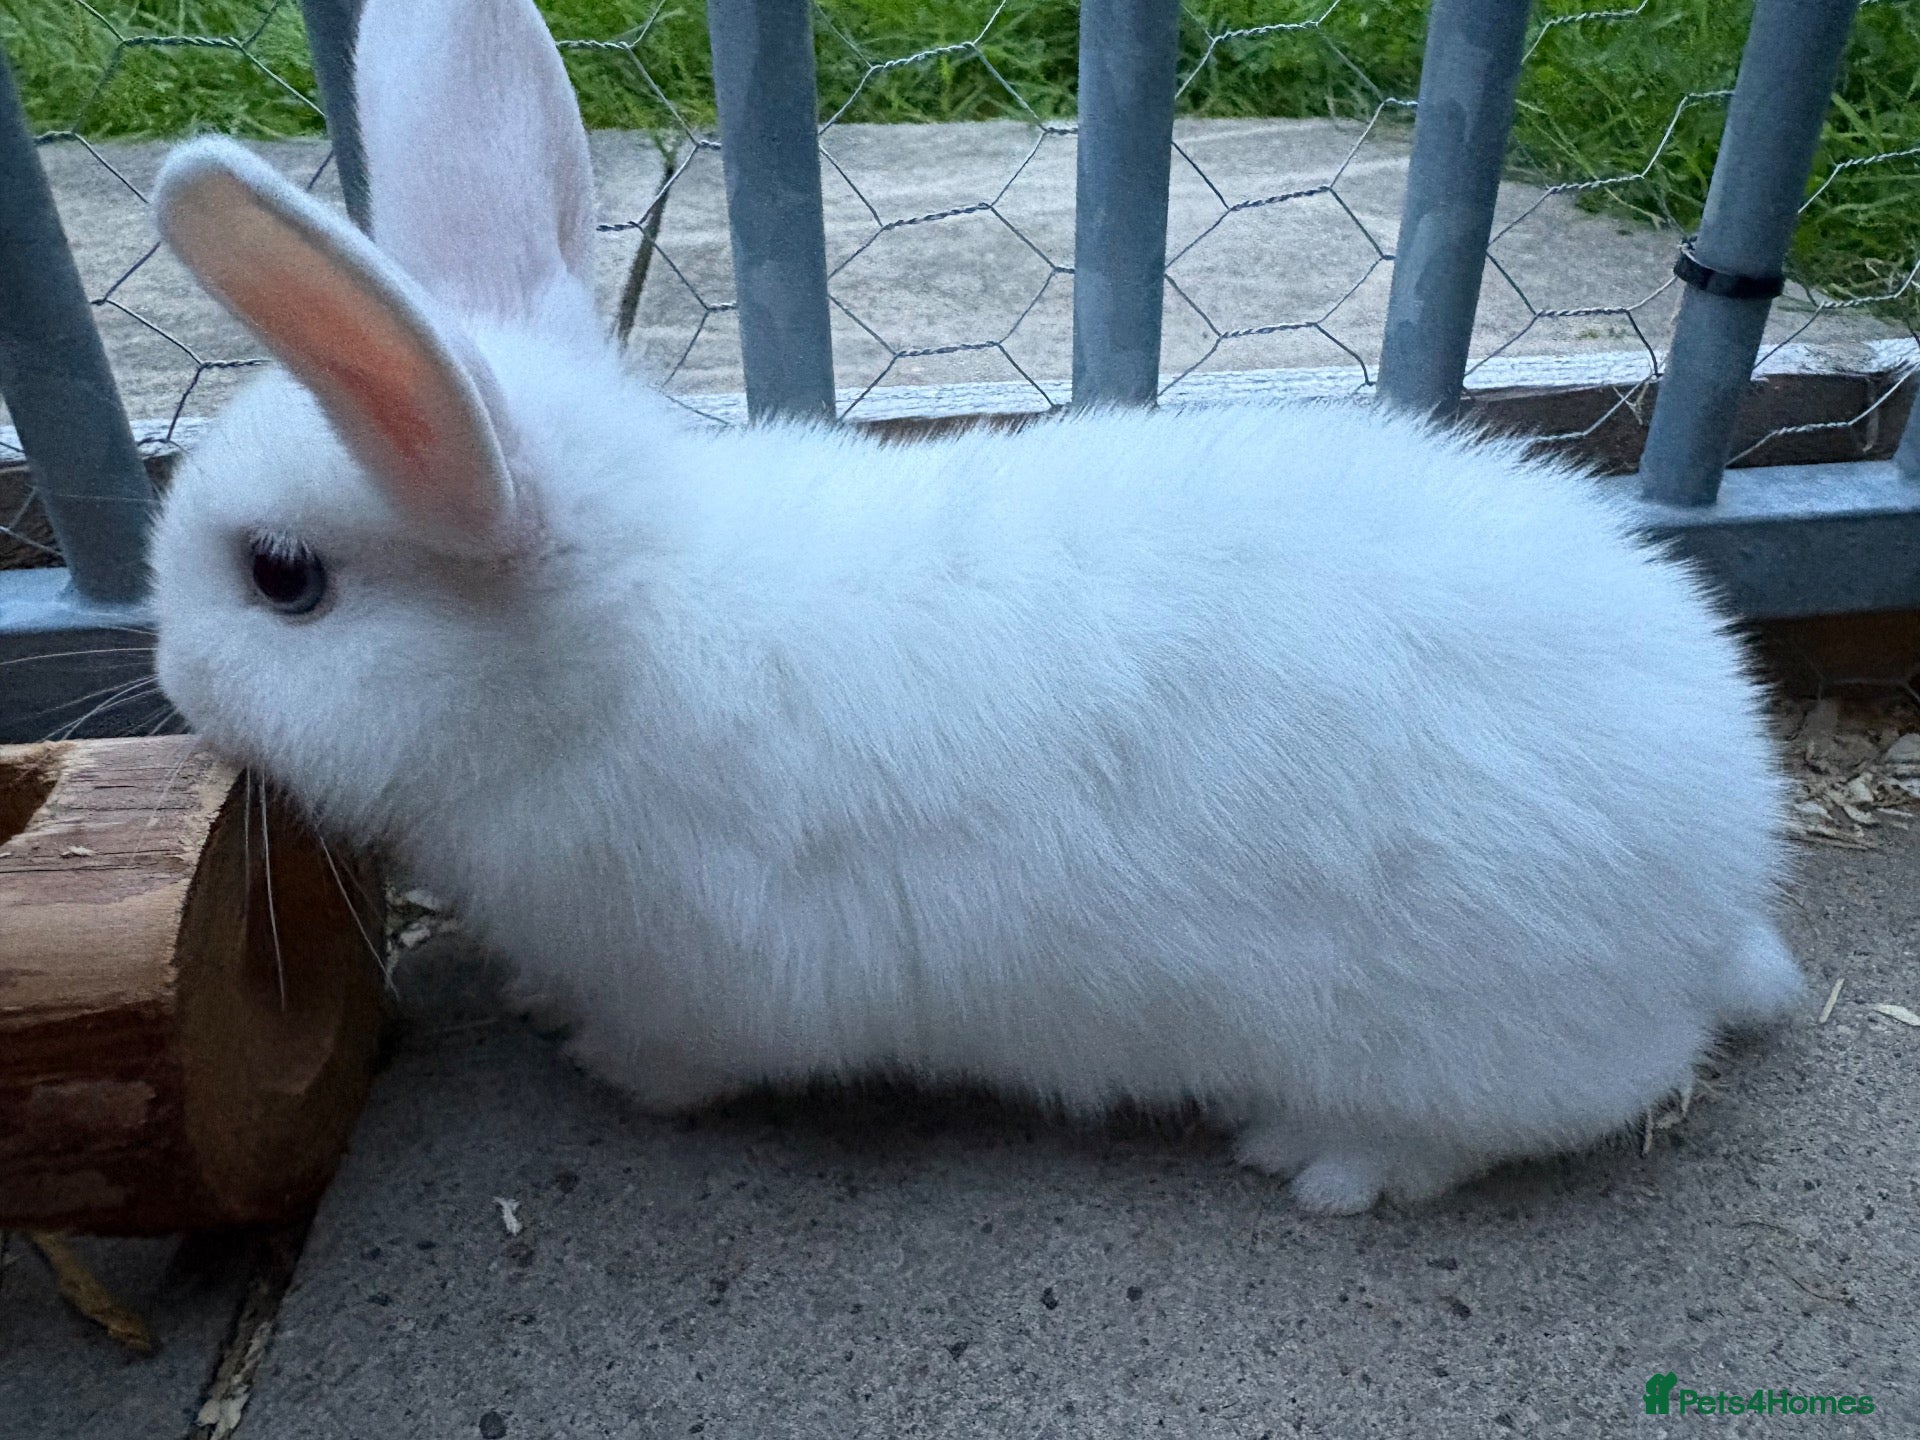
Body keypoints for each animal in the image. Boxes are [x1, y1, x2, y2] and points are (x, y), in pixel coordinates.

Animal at [145, 0, 1803, 1214]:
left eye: (281, 580)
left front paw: (590, 1052)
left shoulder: (715, 984)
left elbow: (677, 1059)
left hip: (1462, 1043)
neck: (598, 649)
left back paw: (1322, 1160)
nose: (164, 670)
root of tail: (1726, 881)